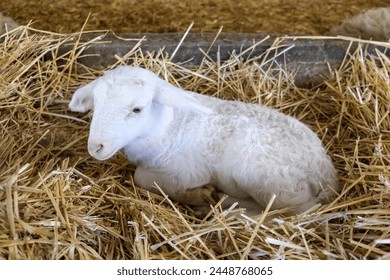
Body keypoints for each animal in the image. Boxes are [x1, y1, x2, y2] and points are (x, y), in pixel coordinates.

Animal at [69, 66, 338, 217]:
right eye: (96, 104)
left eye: (137, 109)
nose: (96, 147)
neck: (166, 127)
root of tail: (325, 172)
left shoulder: (187, 173)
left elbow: (141, 177)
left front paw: (196, 195)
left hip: (271, 181)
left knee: (296, 212)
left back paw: (221, 207)